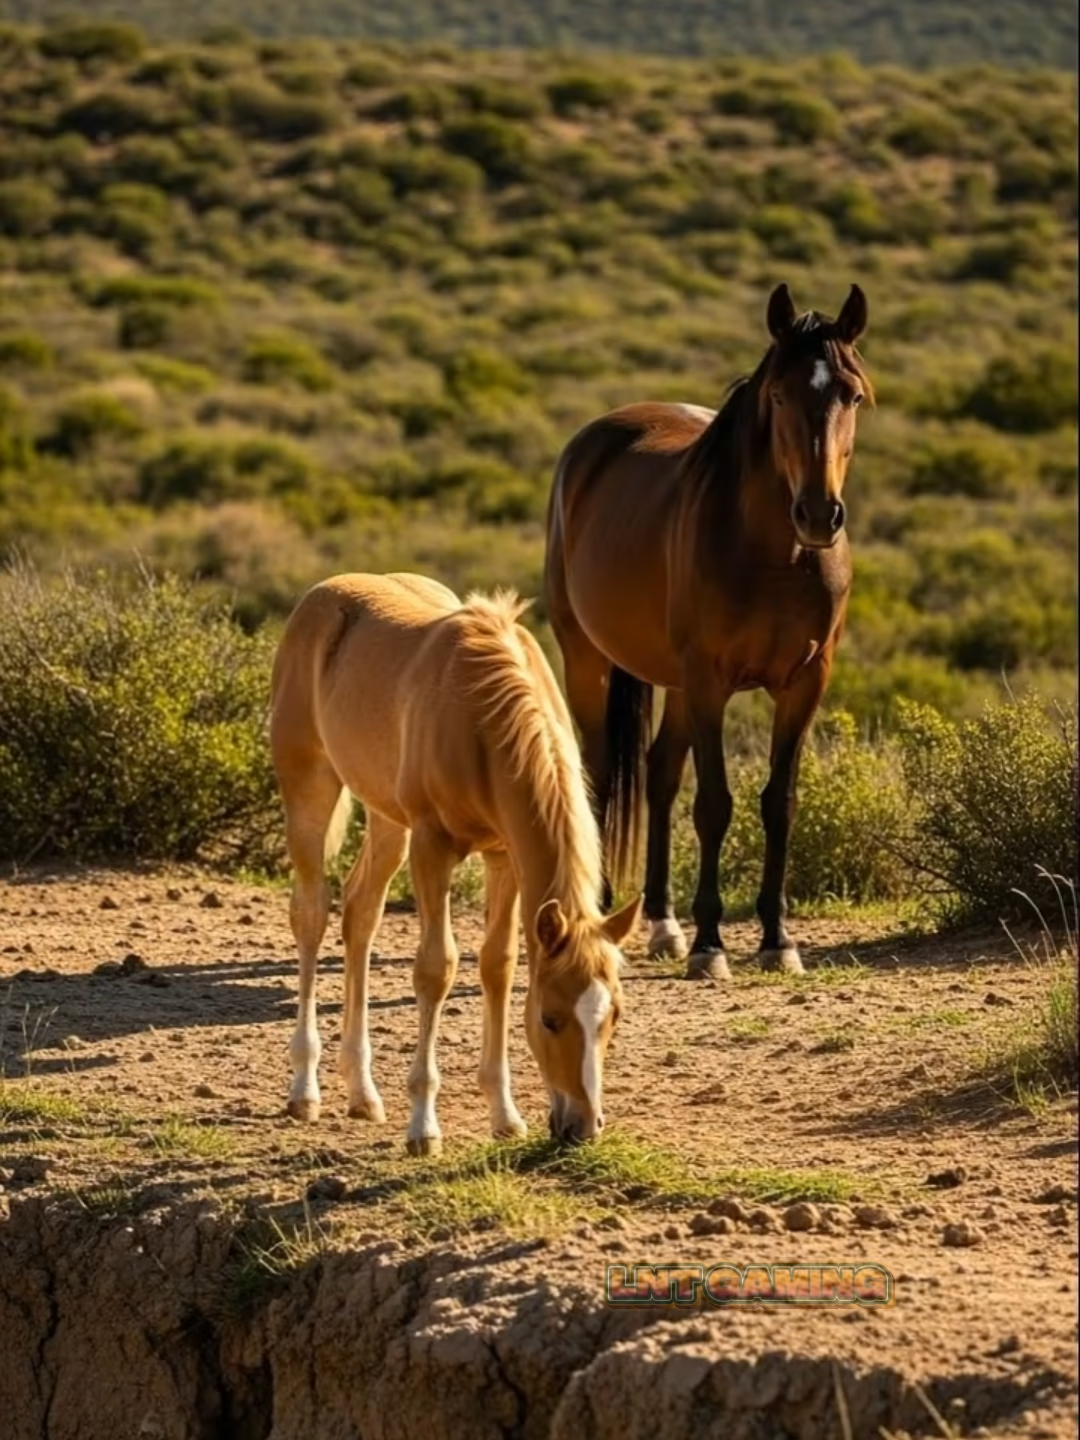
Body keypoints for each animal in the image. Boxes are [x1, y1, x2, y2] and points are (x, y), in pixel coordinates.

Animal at [268, 572, 641, 1155]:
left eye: (614, 1017)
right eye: (549, 1018)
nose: (582, 1127)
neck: (481, 719)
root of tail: (320, 596)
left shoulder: (503, 855)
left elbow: (498, 965)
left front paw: (505, 1114)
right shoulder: (433, 845)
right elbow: (436, 968)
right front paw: (423, 1125)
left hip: (387, 821)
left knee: (360, 916)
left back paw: (362, 1092)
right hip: (311, 788)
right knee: (312, 916)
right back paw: (305, 1089)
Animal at [543, 283, 873, 982]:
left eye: (851, 395)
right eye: (778, 395)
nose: (818, 515)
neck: (778, 555)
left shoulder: (805, 683)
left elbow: (779, 802)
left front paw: (776, 939)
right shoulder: (710, 682)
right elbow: (716, 803)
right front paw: (710, 944)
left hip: (672, 682)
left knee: (659, 773)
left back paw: (662, 922)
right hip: (589, 659)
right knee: (599, 775)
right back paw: (604, 915)